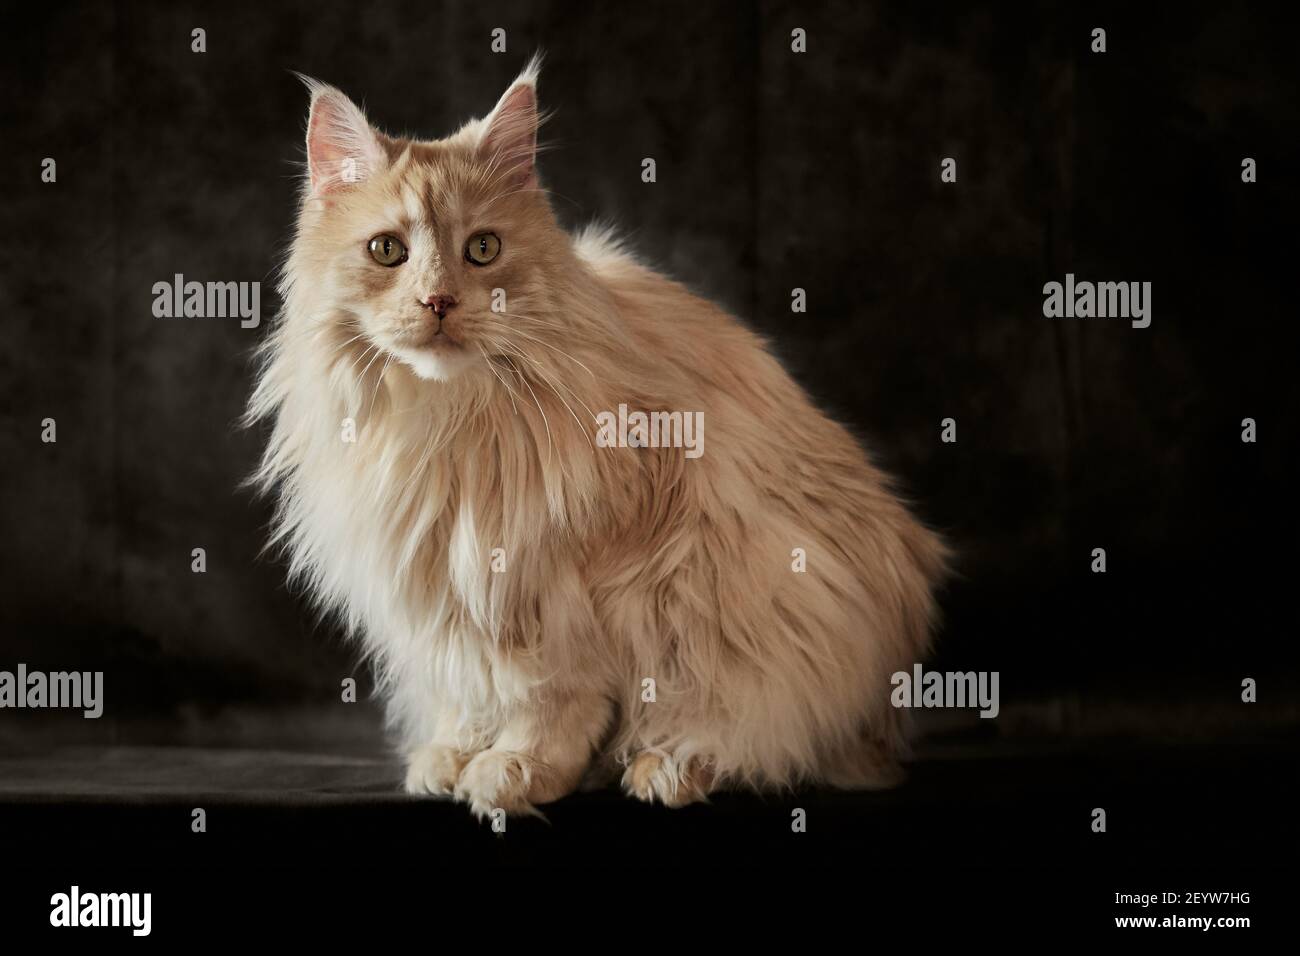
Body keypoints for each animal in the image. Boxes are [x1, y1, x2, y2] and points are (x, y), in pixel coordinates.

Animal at [248, 57, 951, 816]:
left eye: (483, 249)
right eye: (387, 251)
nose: (438, 301)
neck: (445, 425)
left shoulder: (576, 585)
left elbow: (554, 699)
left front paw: (517, 768)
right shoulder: (450, 598)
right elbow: (470, 688)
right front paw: (454, 754)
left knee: (754, 735)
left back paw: (669, 767)